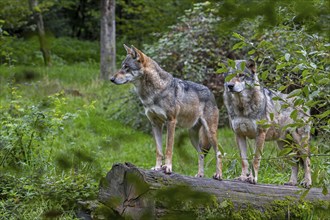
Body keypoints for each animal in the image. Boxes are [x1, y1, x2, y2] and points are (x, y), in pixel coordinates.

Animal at [110, 45, 222, 180]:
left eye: (127, 67)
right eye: (122, 66)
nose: (111, 79)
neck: (152, 92)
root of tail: (210, 92)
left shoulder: (171, 122)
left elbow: (168, 149)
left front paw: (168, 167)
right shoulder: (155, 124)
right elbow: (159, 151)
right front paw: (157, 167)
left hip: (210, 133)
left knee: (219, 153)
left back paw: (218, 175)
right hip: (192, 136)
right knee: (200, 154)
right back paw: (200, 175)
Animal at [223, 58, 310, 187]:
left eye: (241, 75)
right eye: (230, 76)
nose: (230, 86)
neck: (242, 107)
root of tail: (303, 101)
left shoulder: (260, 134)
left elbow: (255, 159)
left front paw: (253, 178)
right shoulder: (239, 135)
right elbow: (244, 161)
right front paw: (242, 177)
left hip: (299, 142)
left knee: (307, 160)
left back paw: (307, 182)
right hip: (283, 146)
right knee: (295, 163)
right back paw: (292, 182)